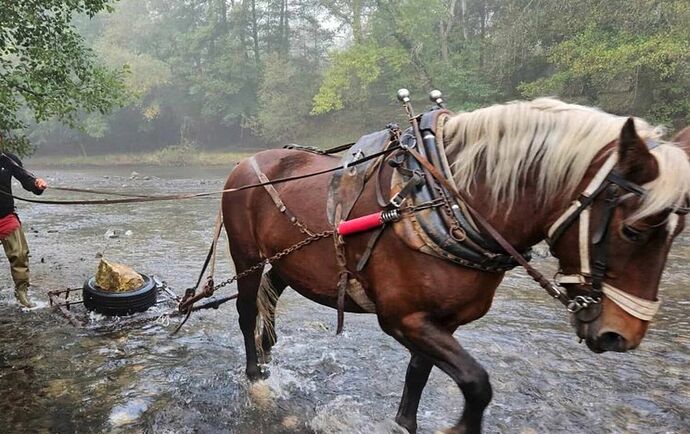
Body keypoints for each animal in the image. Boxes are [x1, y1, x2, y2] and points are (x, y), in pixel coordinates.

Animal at [220, 99, 688, 434]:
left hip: (288, 263)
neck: (441, 201)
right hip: (246, 259)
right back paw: (255, 375)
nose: (621, 335)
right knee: (246, 311)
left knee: (269, 300)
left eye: (678, 229)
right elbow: (477, 383)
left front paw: (404, 423)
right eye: (634, 230)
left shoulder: (440, 322)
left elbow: (418, 378)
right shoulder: (404, 319)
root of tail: (243, 164)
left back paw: (268, 355)